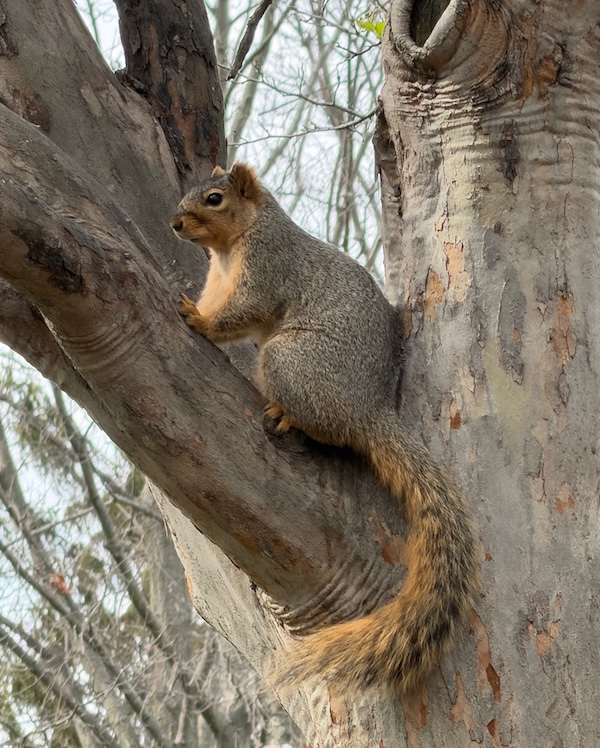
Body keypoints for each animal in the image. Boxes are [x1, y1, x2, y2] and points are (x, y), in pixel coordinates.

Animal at [170, 163, 480, 694]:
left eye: (213, 199)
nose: (175, 223)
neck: (235, 243)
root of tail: (369, 410)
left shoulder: (268, 267)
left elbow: (243, 311)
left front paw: (200, 321)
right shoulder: (219, 278)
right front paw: (198, 309)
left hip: (289, 360)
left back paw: (286, 414)